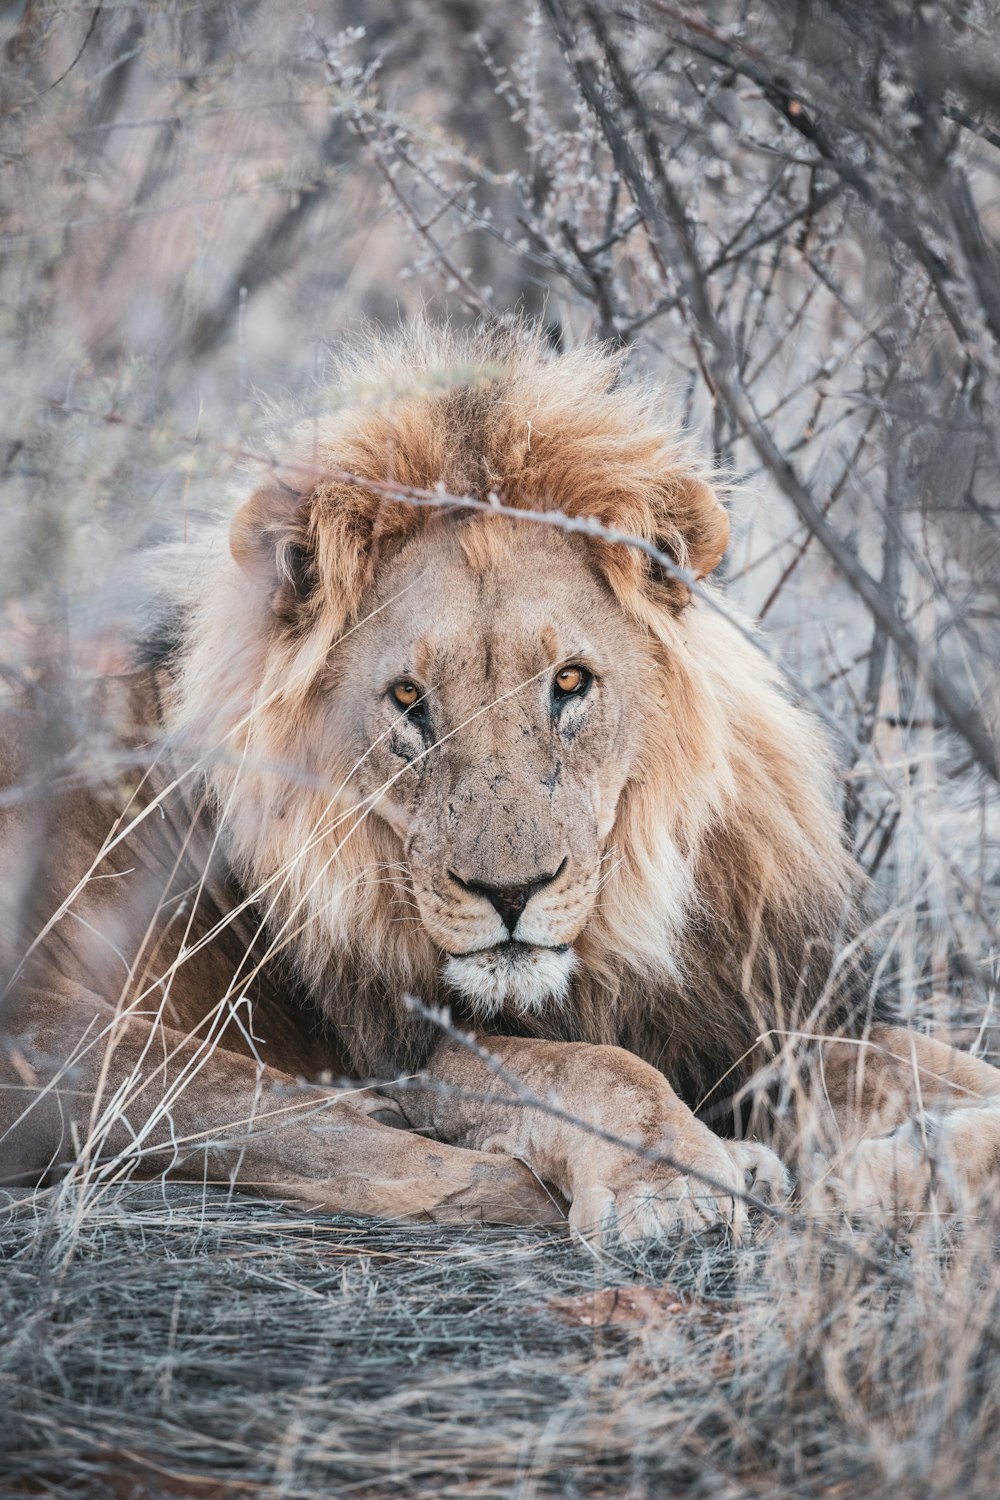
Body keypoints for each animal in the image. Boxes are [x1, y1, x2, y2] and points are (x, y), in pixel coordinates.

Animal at [1, 328, 1000, 1242]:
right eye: (410, 700)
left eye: (570, 683)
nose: (511, 894)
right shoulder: (402, 1042)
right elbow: (592, 1071)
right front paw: (671, 1185)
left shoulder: (746, 1020)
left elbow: (931, 1067)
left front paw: (915, 1161)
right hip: (64, 1028)